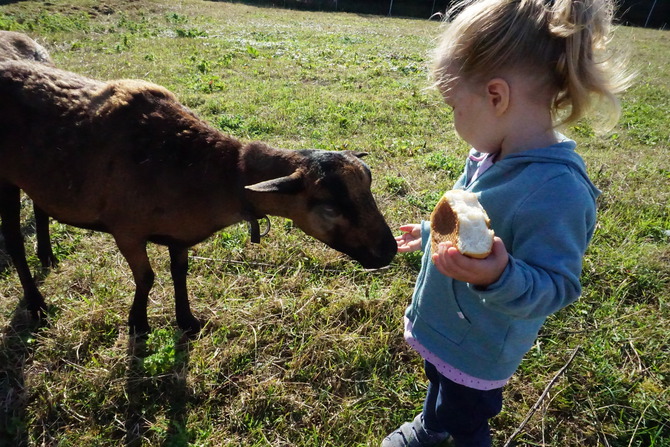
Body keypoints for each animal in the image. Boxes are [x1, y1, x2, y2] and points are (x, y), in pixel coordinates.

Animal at [0, 59, 397, 335]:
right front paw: (138, 325)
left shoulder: (178, 233)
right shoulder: (127, 230)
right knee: (14, 242)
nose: (390, 250)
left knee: (41, 208)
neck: (210, 174)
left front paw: (187, 321)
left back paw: (48, 257)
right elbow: (147, 278)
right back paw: (36, 303)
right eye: (329, 208)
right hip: (5, 178)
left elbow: (180, 272)